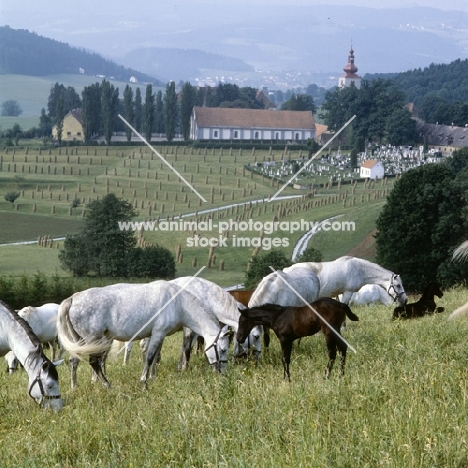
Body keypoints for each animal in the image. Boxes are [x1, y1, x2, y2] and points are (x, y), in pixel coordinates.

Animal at [57, 280, 231, 390]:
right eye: (222, 350)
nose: (222, 372)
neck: (178, 302)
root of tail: (73, 298)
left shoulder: (159, 335)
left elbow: (154, 357)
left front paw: (151, 378)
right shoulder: (158, 333)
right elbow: (149, 357)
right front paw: (144, 383)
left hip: (80, 341)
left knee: (74, 360)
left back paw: (74, 386)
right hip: (94, 339)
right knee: (94, 363)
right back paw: (108, 386)